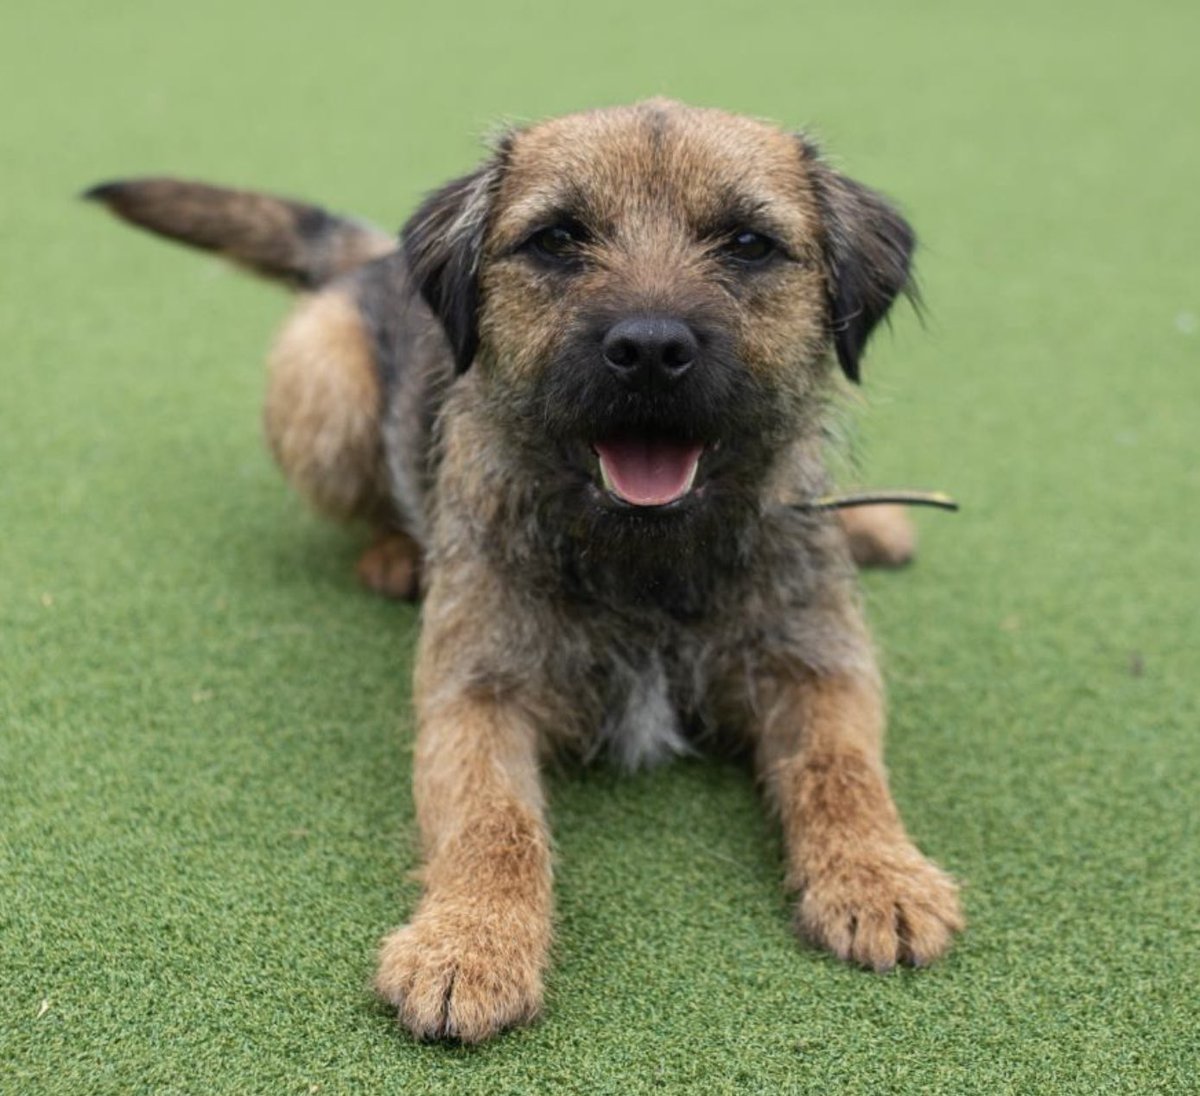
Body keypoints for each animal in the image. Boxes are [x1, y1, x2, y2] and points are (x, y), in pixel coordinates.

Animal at [88, 98, 960, 1037]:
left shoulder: (818, 664)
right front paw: (469, 944)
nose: (650, 347)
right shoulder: (475, 696)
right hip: (319, 389)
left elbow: (844, 769)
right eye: (557, 238)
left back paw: (870, 520)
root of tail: (376, 261)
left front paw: (880, 876)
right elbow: (491, 817)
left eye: (748, 243)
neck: (644, 558)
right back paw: (397, 553)